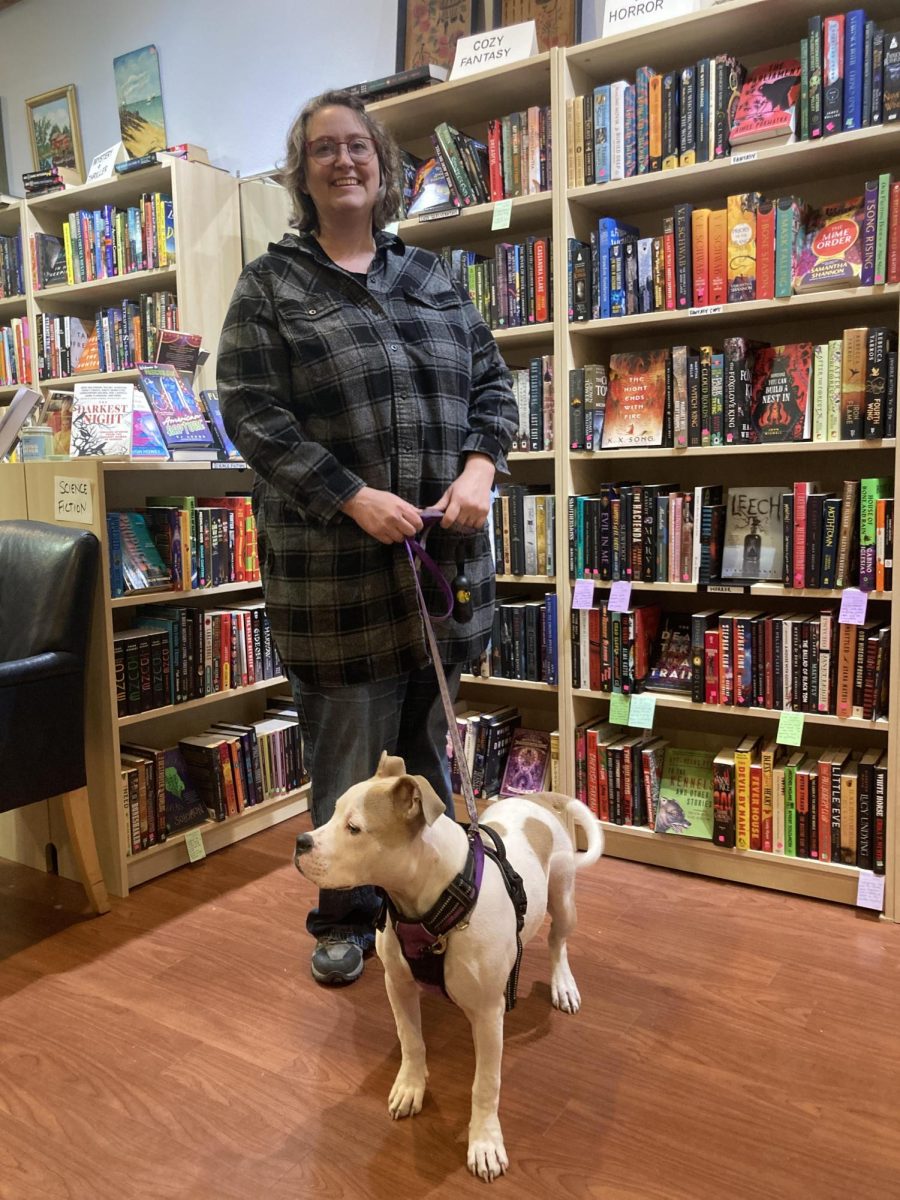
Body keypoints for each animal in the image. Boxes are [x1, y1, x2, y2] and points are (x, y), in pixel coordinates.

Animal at [296, 753, 607, 1176]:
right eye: (332, 813)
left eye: (354, 828)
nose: (301, 842)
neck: (435, 901)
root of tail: (542, 799)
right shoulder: (398, 984)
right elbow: (411, 1041)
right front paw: (411, 1087)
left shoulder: (490, 1013)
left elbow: (485, 1084)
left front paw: (485, 1141)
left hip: (563, 898)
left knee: (558, 941)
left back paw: (563, 985)